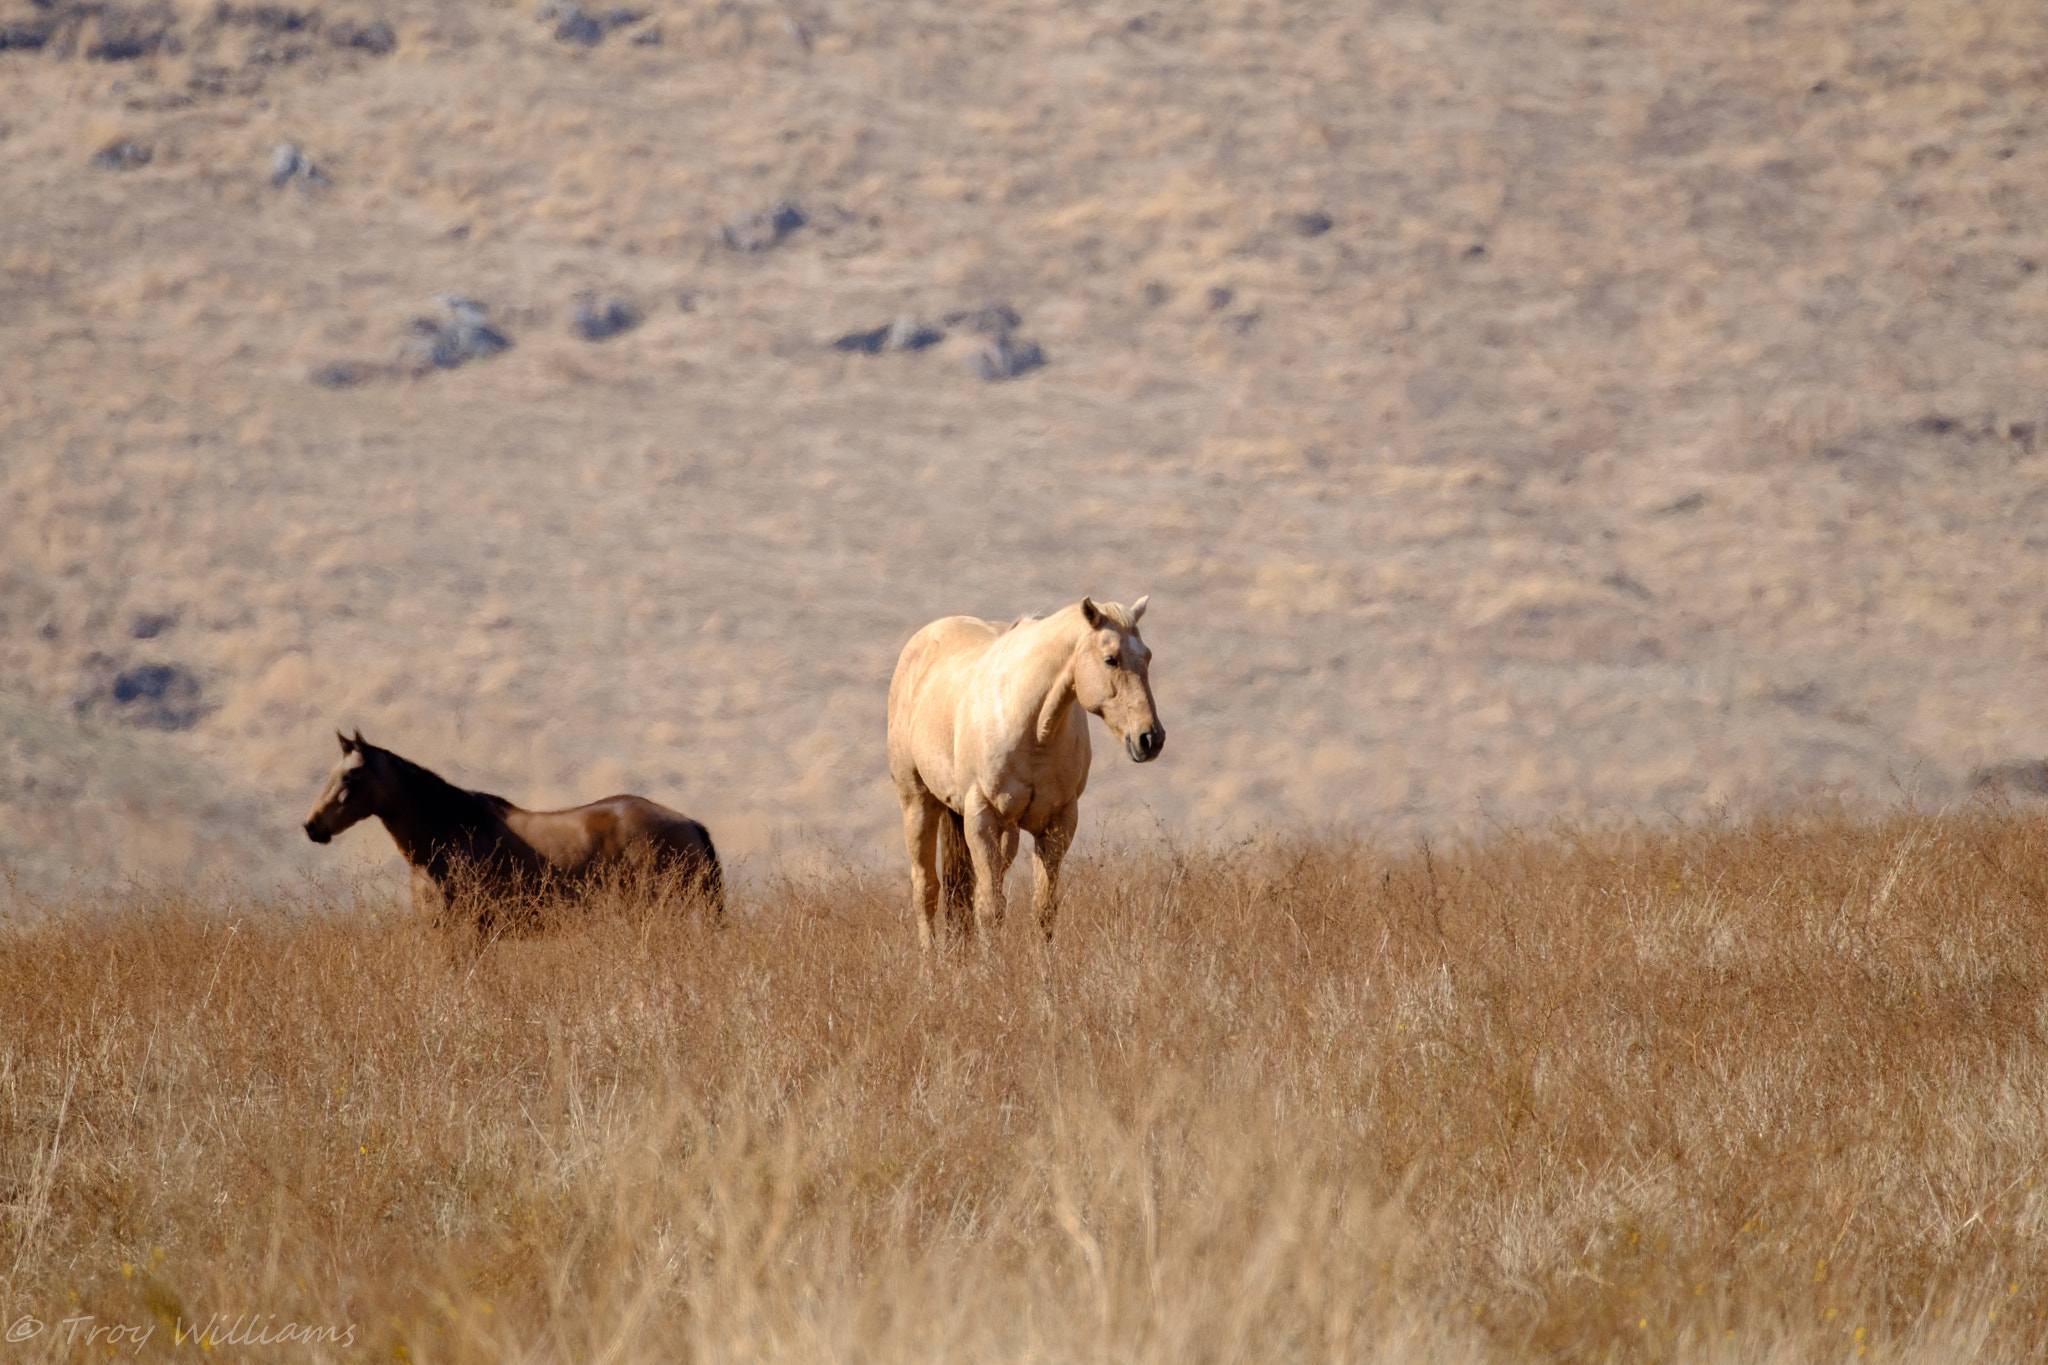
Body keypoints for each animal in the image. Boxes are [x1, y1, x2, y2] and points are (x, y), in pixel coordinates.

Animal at [884, 597, 1171, 949]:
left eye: (1147, 656)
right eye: (1110, 659)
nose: (1151, 738)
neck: (1030, 725)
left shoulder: (1057, 822)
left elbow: (1044, 908)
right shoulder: (982, 817)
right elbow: (989, 909)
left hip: (1005, 832)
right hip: (918, 803)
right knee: (926, 888)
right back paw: (931, 961)